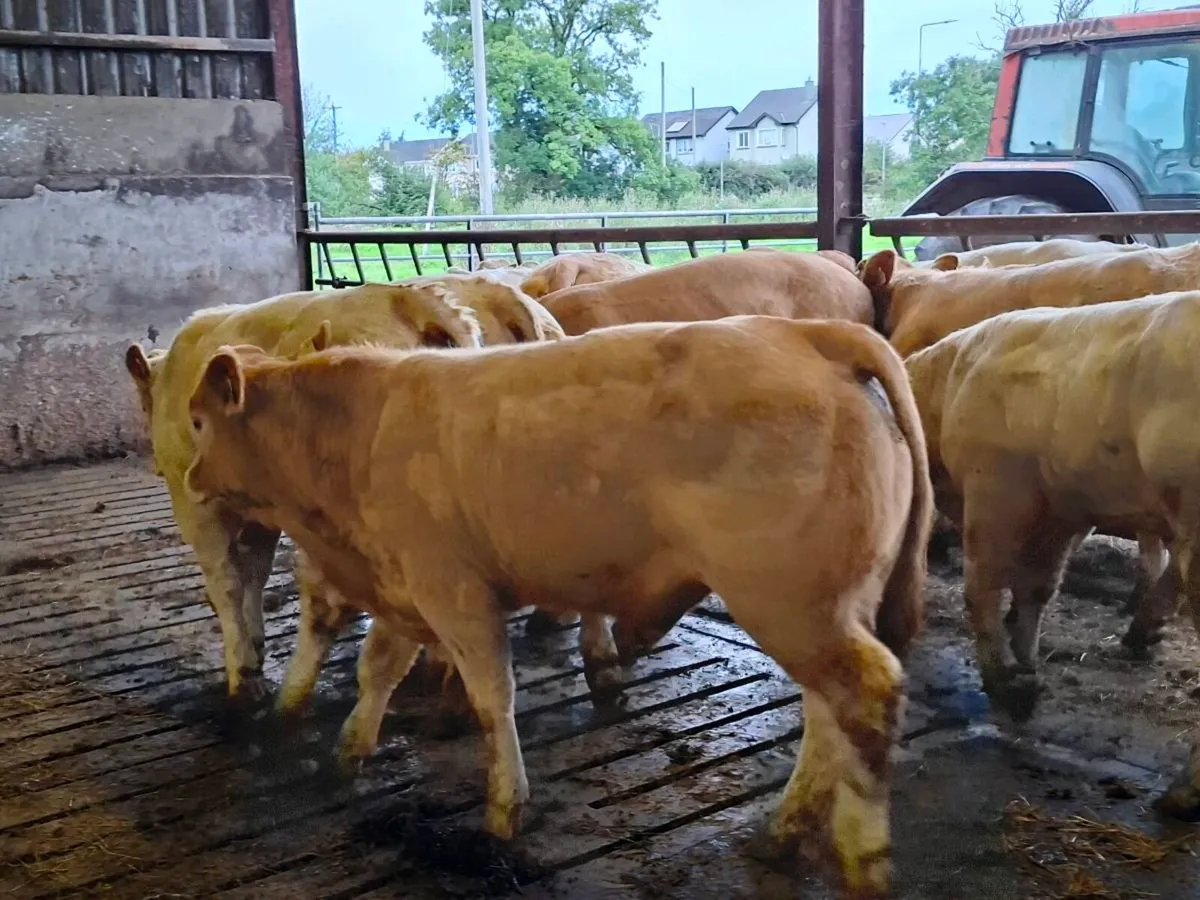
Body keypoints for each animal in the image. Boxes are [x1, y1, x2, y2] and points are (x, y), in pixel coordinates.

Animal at [182, 314, 933, 898]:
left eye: (198, 421)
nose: (189, 478)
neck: (355, 433)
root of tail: (804, 333)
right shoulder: (403, 586)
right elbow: (379, 669)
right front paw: (349, 751)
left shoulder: (453, 588)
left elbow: (492, 697)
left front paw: (504, 810)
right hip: (821, 607)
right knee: (828, 711)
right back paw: (784, 829)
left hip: (790, 600)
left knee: (864, 697)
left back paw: (861, 858)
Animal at [903, 293, 1200, 751]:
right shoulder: (1059, 511)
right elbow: (1036, 590)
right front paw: (1026, 673)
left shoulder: (996, 491)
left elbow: (984, 589)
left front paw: (1007, 683)